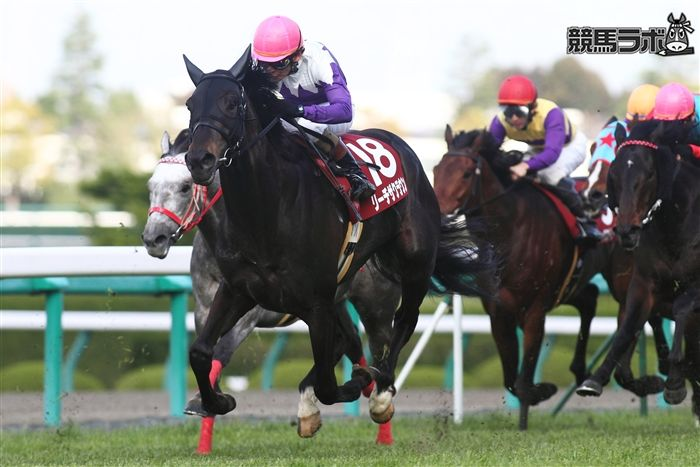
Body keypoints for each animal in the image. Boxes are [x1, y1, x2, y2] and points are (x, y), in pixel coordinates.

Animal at [142, 129, 403, 443]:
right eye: (151, 185)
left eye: (184, 187)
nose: (153, 238)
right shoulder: (206, 307)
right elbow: (205, 350)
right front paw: (209, 403)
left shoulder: (250, 314)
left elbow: (222, 351)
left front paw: (203, 403)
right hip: (332, 301)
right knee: (348, 340)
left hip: (375, 306)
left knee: (379, 349)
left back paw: (381, 417)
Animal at [180, 56, 498, 431]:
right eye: (190, 104)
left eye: (231, 103)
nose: (199, 160)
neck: (269, 210)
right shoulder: (238, 290)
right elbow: (200, 352)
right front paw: (219, 401)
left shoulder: (316, 302)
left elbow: (330, 385)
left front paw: (362, 382)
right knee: (350, 339)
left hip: (414, 263)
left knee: (403, 321)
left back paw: (381, 391)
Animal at [432, 125, 670, 430]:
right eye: (436, 170)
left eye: (464, 173)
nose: (438, 216)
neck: (510, 229)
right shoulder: (498, 312)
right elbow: (510, 379)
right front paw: (539, 393)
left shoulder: (535, 310)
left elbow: (523, 377)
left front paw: (530, 409)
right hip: (574, 283)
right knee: (592, 300)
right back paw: (587, 371)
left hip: (622, 276)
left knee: (632, 315)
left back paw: (640, 378)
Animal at [578, 121, 700, 424]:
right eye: (616, 174)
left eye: (649, 174)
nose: (626, 231)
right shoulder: (642, 285)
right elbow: (626, 330)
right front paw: (595, 379)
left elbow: (682, 310)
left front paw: (674, 383)